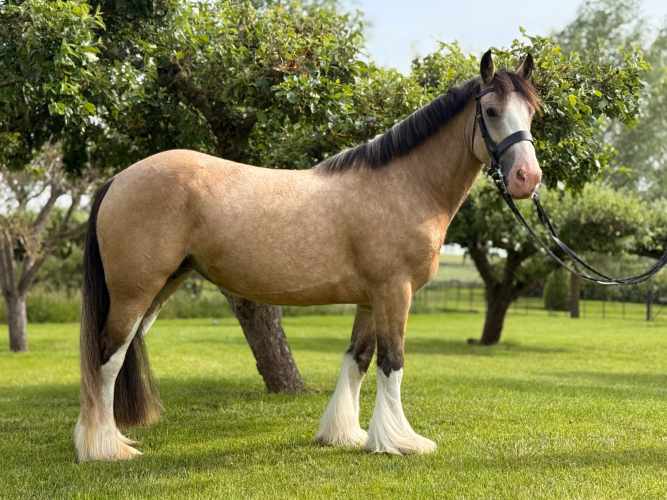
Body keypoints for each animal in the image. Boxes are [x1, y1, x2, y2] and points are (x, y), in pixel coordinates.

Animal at [75, 50, 542, 461]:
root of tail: (118, 178)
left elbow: (358, 359)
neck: (406, 184)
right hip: (135, 292)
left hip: (160, 288)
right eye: (492, 111)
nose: (528, 178)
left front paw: (345, 435)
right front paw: (399, 442)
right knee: (107, 359)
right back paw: (106, 449)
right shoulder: (395, 291)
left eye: (532, 113)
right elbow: (392, 362)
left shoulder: (370, 300)